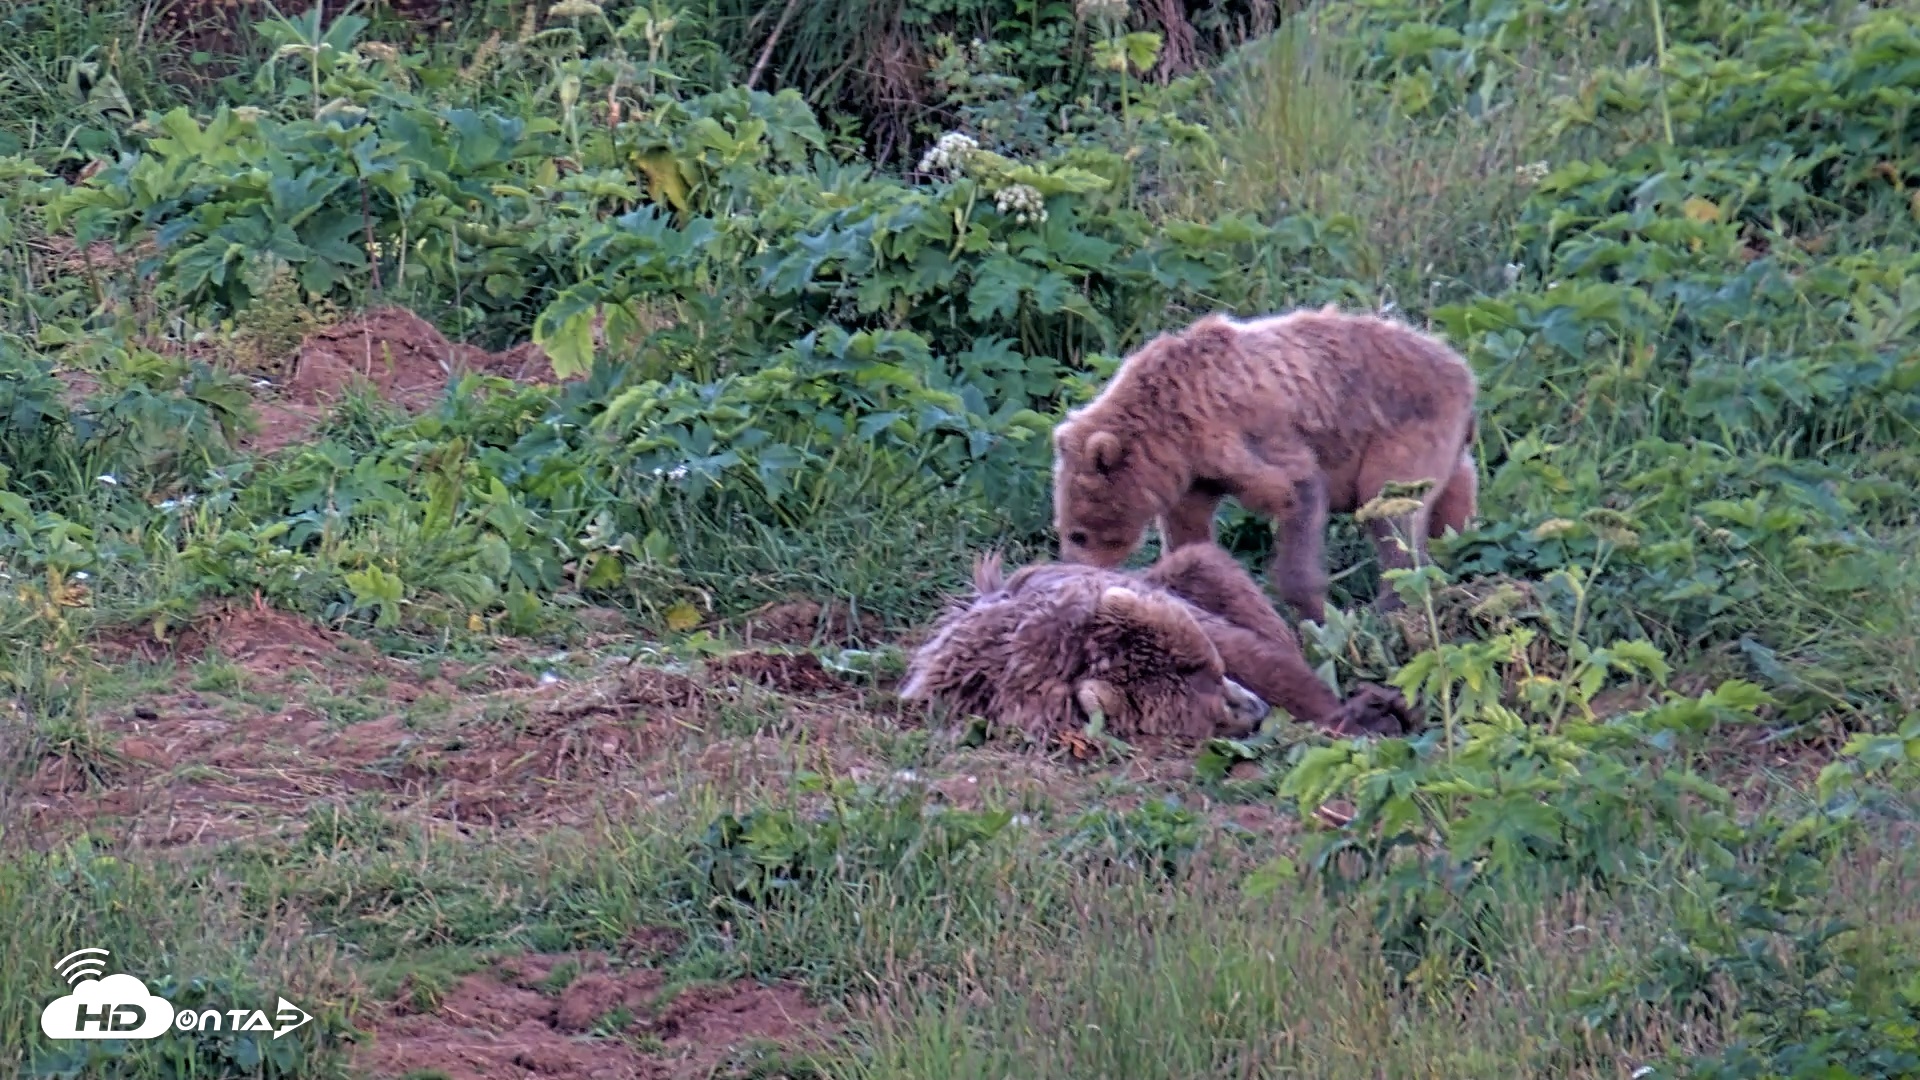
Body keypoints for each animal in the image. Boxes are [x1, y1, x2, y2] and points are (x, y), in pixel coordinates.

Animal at [1050, 304, 1480, 625]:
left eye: (1078, 534)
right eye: (1065, 530)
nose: (1071, 575)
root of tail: (1463, 368)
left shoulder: (1238, 434)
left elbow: (1296, 489)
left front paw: (1315, 614)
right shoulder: (1197, 471)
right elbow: (1188, 528)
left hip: (1400, 431)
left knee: (1388, 510)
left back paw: (1391, 603)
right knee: (1455, 489)